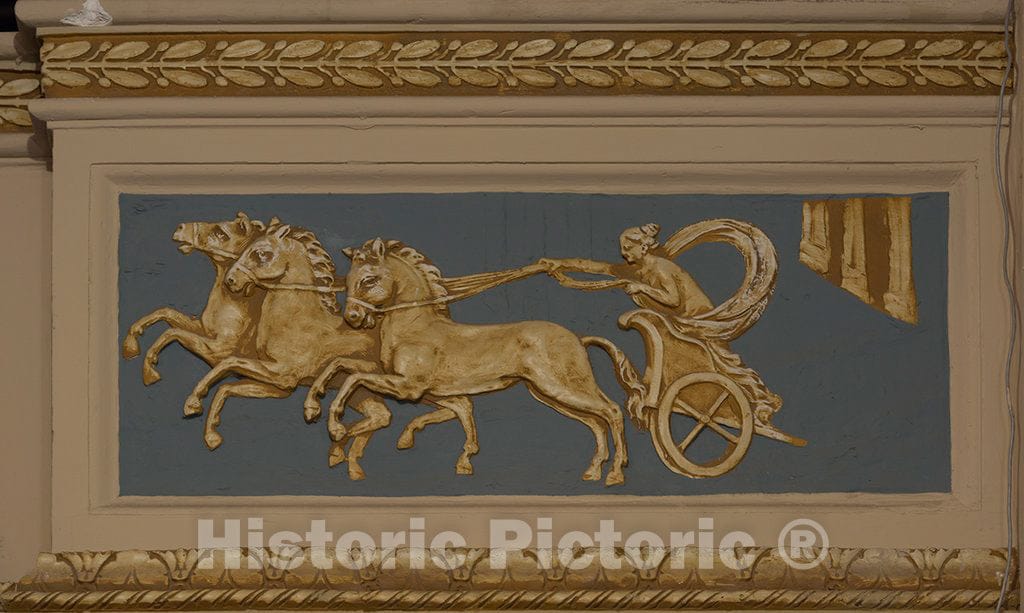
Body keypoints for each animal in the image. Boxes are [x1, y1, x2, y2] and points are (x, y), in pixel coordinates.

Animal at [184, 223, 475, 483]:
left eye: (261, 253)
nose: (232, 280)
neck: (295, 318)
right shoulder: (279, 386)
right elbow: (226, 386)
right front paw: (211, 435)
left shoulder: (282, 374)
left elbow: (227, 364)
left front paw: (193, 405)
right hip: (397, 390)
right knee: (429, 409)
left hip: (408, 386)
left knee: (455, 404)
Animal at [307, 237, 630, 487]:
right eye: (348, 281)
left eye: (370, 279)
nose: (353, 318)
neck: (413, 328)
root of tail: (579, 338)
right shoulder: (424, 390)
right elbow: (340, 364)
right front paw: (313, 407)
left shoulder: (408, 387)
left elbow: (353, 378)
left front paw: (335, 427)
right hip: (549, 394)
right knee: (596, 422)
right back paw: (593, 470)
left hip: (561, 386)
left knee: (612, 411)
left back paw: (615, 473)